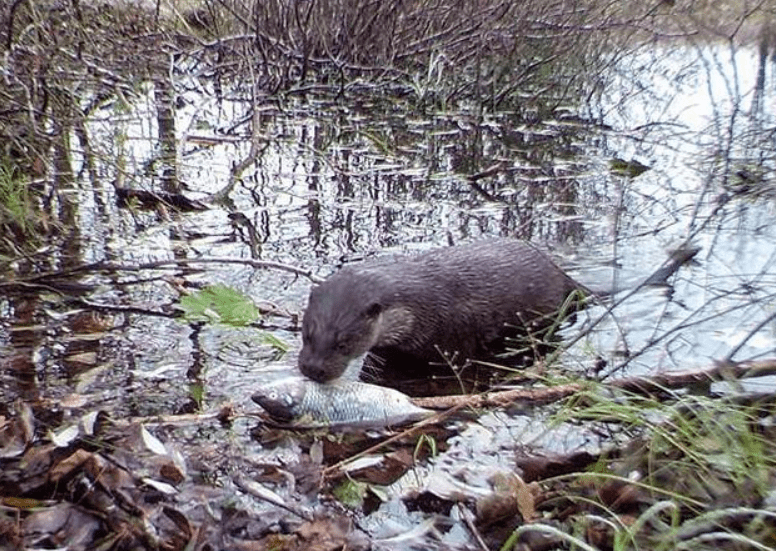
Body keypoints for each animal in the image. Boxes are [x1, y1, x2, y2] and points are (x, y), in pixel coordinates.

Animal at [298, 237, 588, 384]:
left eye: (343, 344)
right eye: (307, 335)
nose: (312, 369)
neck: (421, 307)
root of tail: (562, 275)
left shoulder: (455, 340)